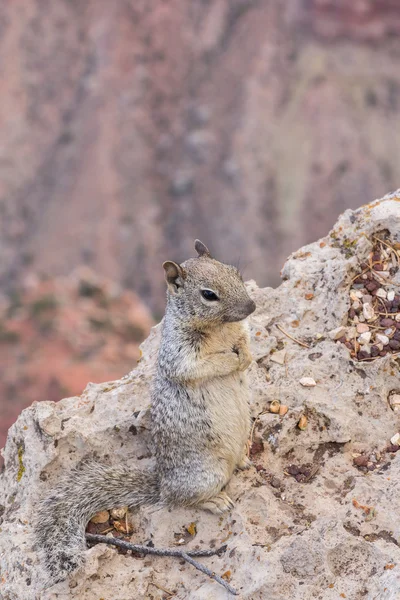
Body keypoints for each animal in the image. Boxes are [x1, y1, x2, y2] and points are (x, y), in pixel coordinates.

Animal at [32, 240, 255, 584]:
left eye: (236, 273)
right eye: (208, 294)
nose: (252, 306)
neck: (221, 329)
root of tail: (161, 481)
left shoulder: (240, 330)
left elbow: (246, 339)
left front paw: (246, 355)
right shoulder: (180, 355)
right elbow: (203, 365)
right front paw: (234, 360)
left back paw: (243, 459)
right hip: (206, 473)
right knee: (180, 498)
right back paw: (215, 500)